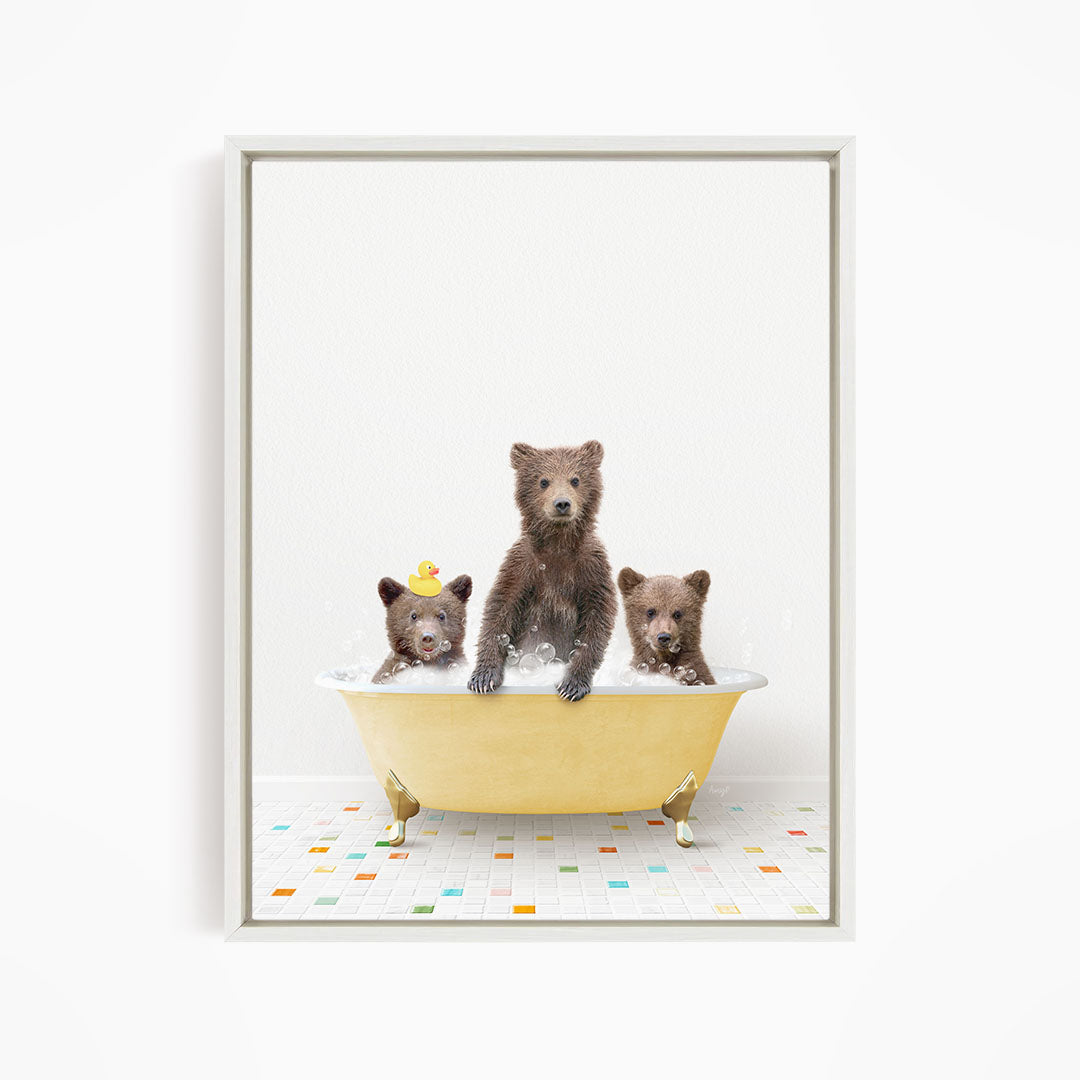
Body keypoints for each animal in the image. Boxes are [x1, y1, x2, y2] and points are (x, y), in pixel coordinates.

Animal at [468, 440, 616, 702]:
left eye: (575, 479)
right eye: (543, 481)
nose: (562, 503)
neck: (558, 544)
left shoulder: (591, 567)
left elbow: (597, 620)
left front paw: (572, 684)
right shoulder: (523, 564)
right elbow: (500, 609)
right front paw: (483, 677)